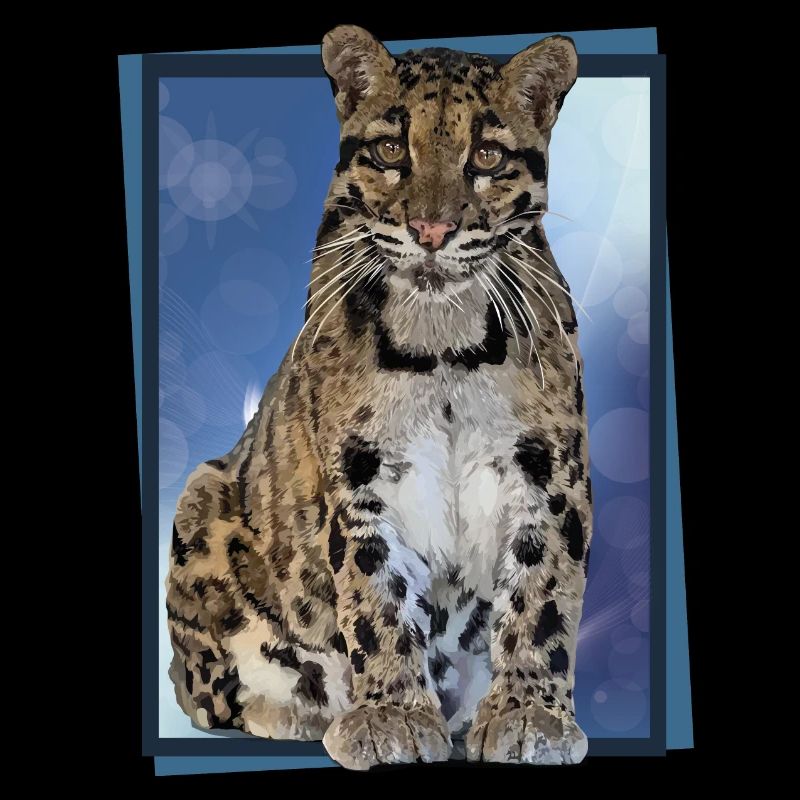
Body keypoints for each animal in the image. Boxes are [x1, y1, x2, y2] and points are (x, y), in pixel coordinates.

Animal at [166, 24, 592, 770]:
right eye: (393, 149)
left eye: (486, 155)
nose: (431, 231)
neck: (443, 343)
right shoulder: (359, 476)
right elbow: (375, 596)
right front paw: (391, 716)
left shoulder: (549, 472)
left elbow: (543, 596)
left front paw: (529, 715)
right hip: (200, 496)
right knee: (209, 693)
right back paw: (301, 711)